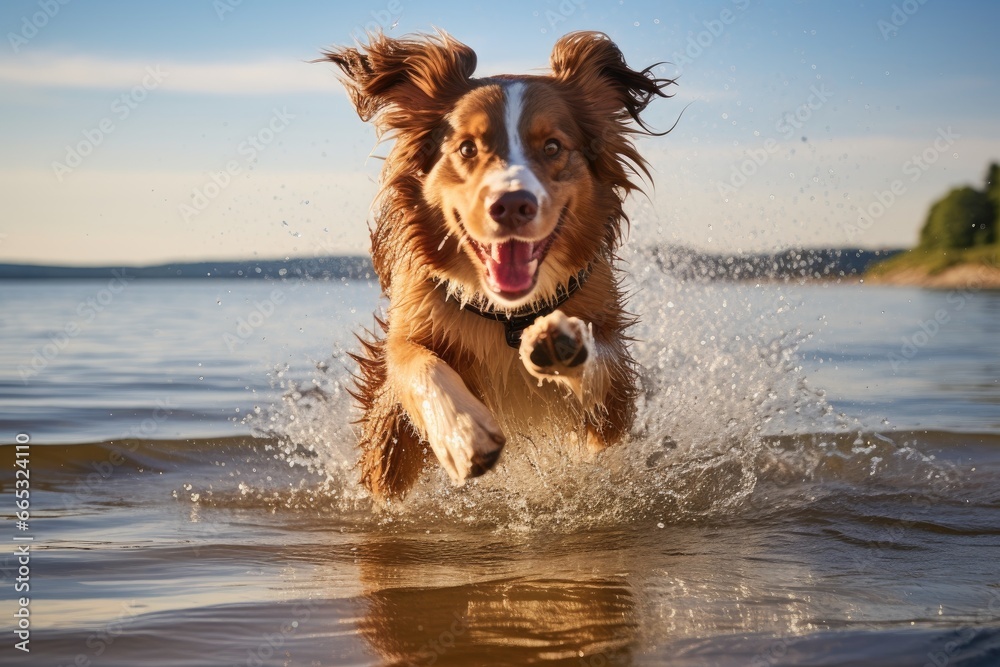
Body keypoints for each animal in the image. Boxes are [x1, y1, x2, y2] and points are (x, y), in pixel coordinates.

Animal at [324, 31, 676, 500]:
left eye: (552, 147)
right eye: (467, 148)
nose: (511, 204)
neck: (509, 316)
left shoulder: (613, 395)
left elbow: (602, 365)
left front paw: (562, 343)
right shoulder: (408, 330)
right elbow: (418, 364)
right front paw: (463, 437)